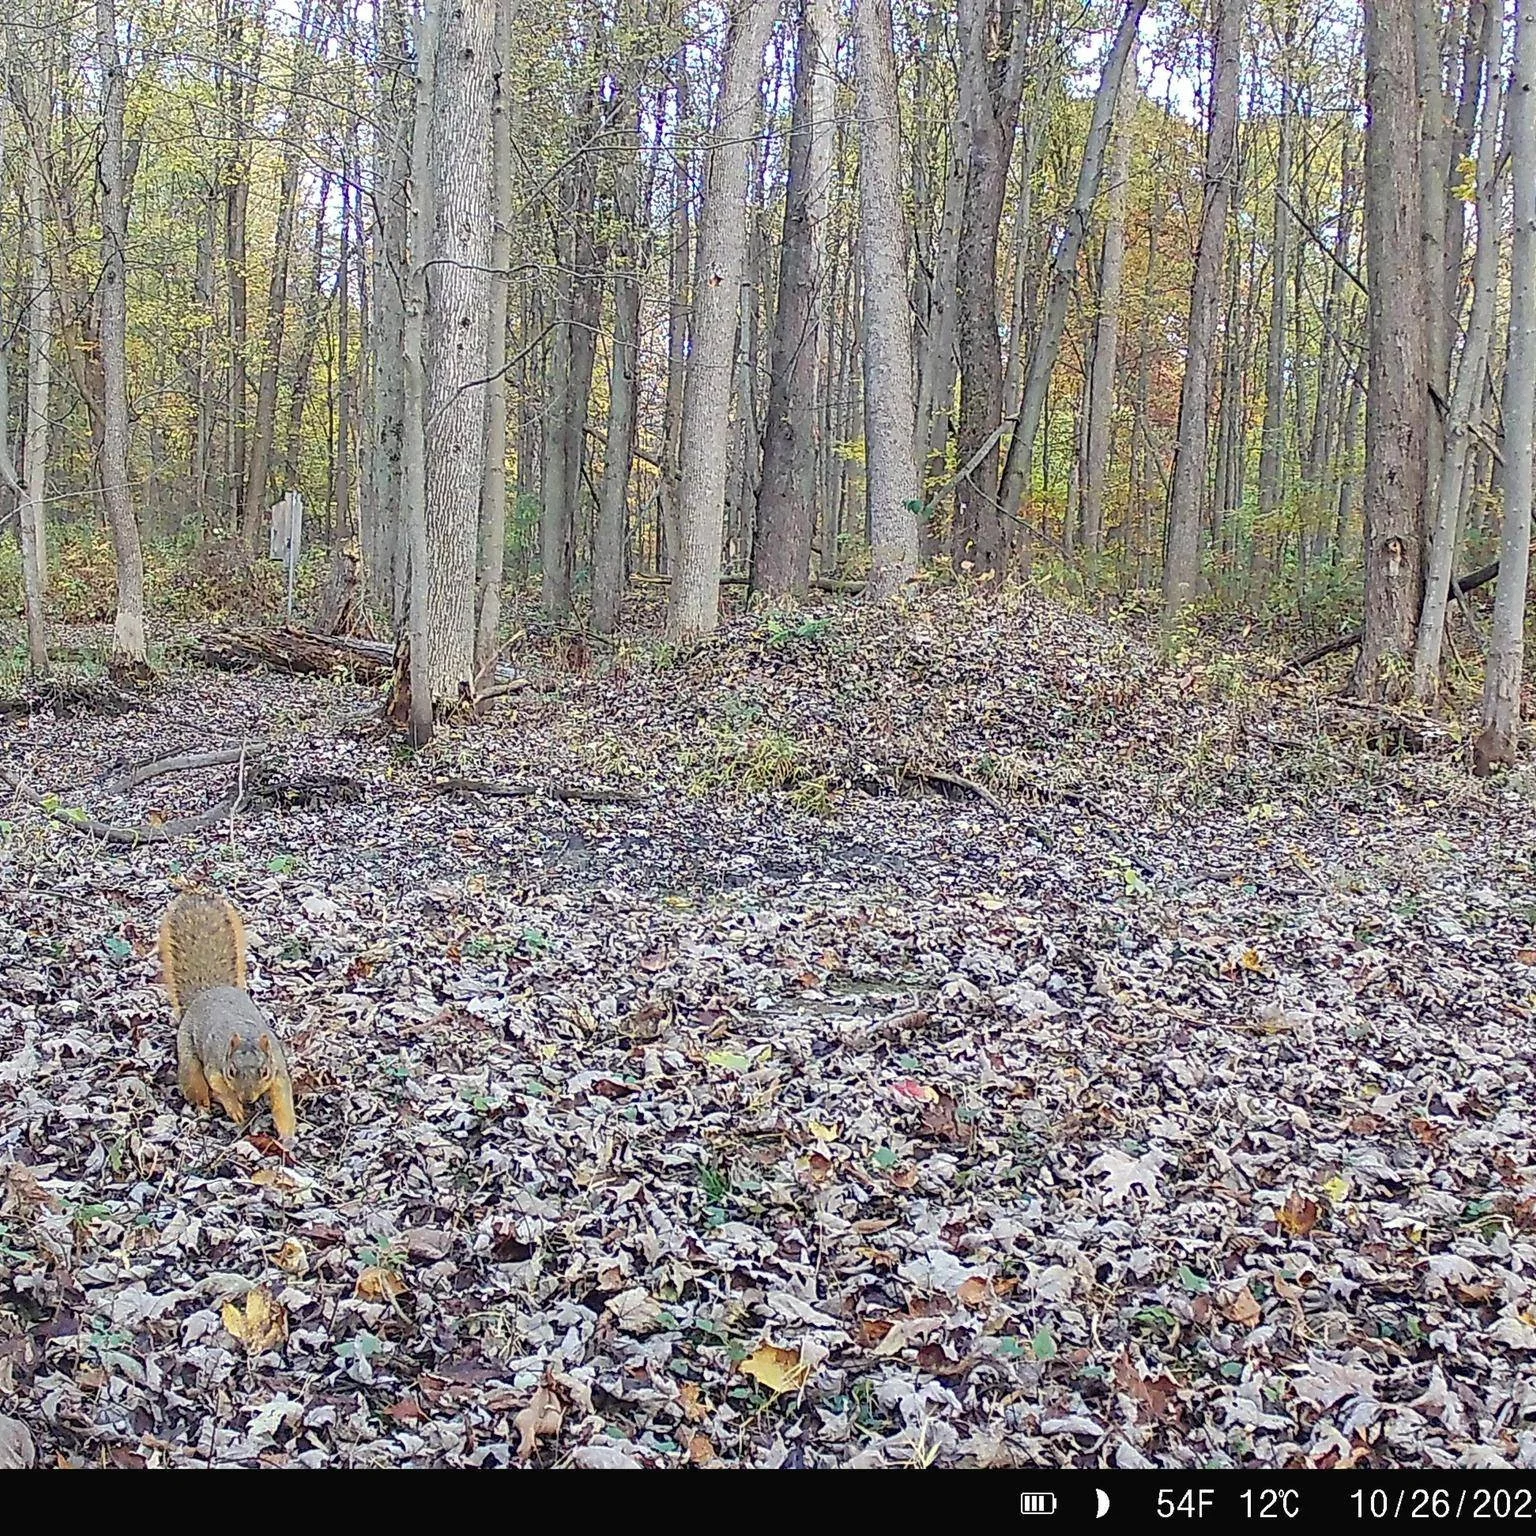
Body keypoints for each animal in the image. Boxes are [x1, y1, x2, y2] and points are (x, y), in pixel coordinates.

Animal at [158, 892, 297, 1144]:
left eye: (264, 1072)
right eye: (232, 1071)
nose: (247, 1099)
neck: (244, 1034)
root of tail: (208, 992)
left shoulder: (277, 1070)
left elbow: (283, 1099)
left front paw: (287, 1134)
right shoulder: (215, 1066)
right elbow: (219, 1087)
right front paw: (234, 1107)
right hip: (188, 1059)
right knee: (197, 1084)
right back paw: (203, 1105)